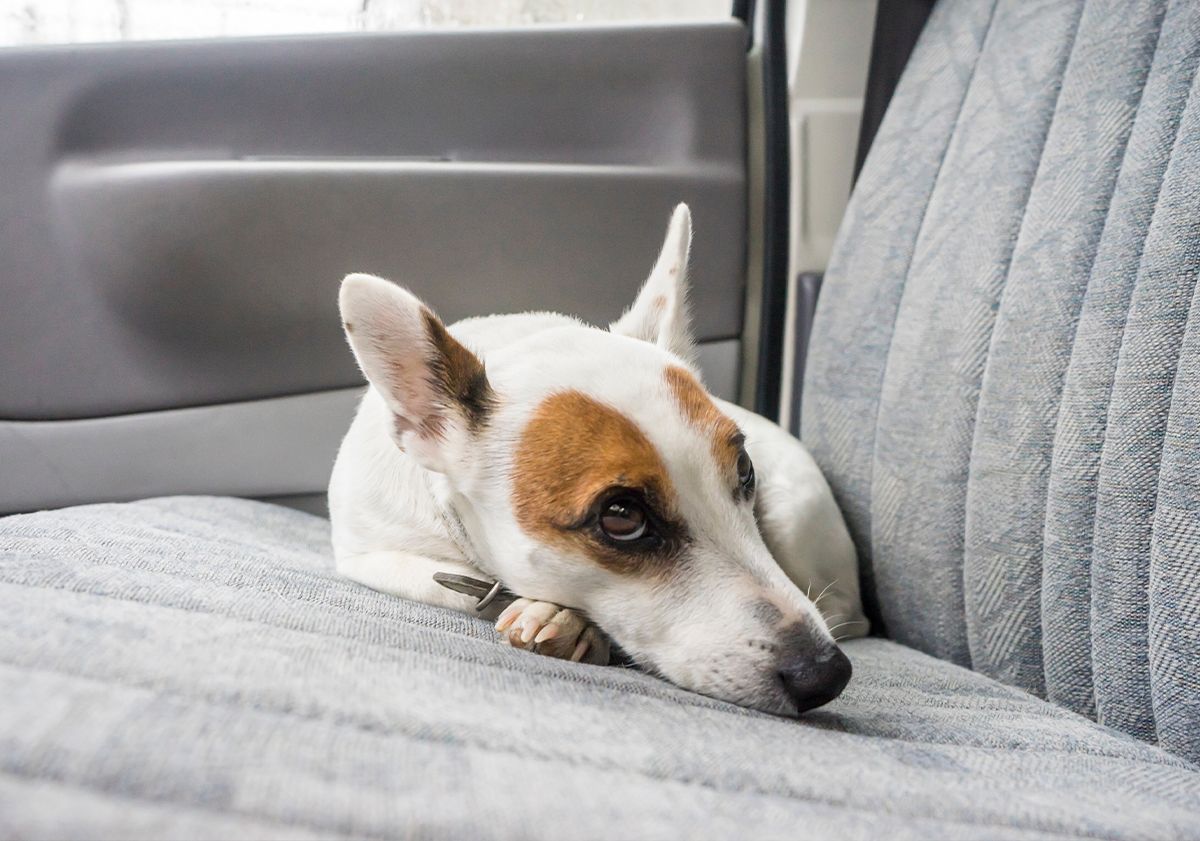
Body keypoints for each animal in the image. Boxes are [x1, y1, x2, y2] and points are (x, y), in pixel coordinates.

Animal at [331, 203, 864, 715]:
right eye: (621, 516)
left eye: (746, 469)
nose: (825, 673)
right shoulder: (369, 555)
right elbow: (455, 586)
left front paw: (567, 619)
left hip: (796, 519)